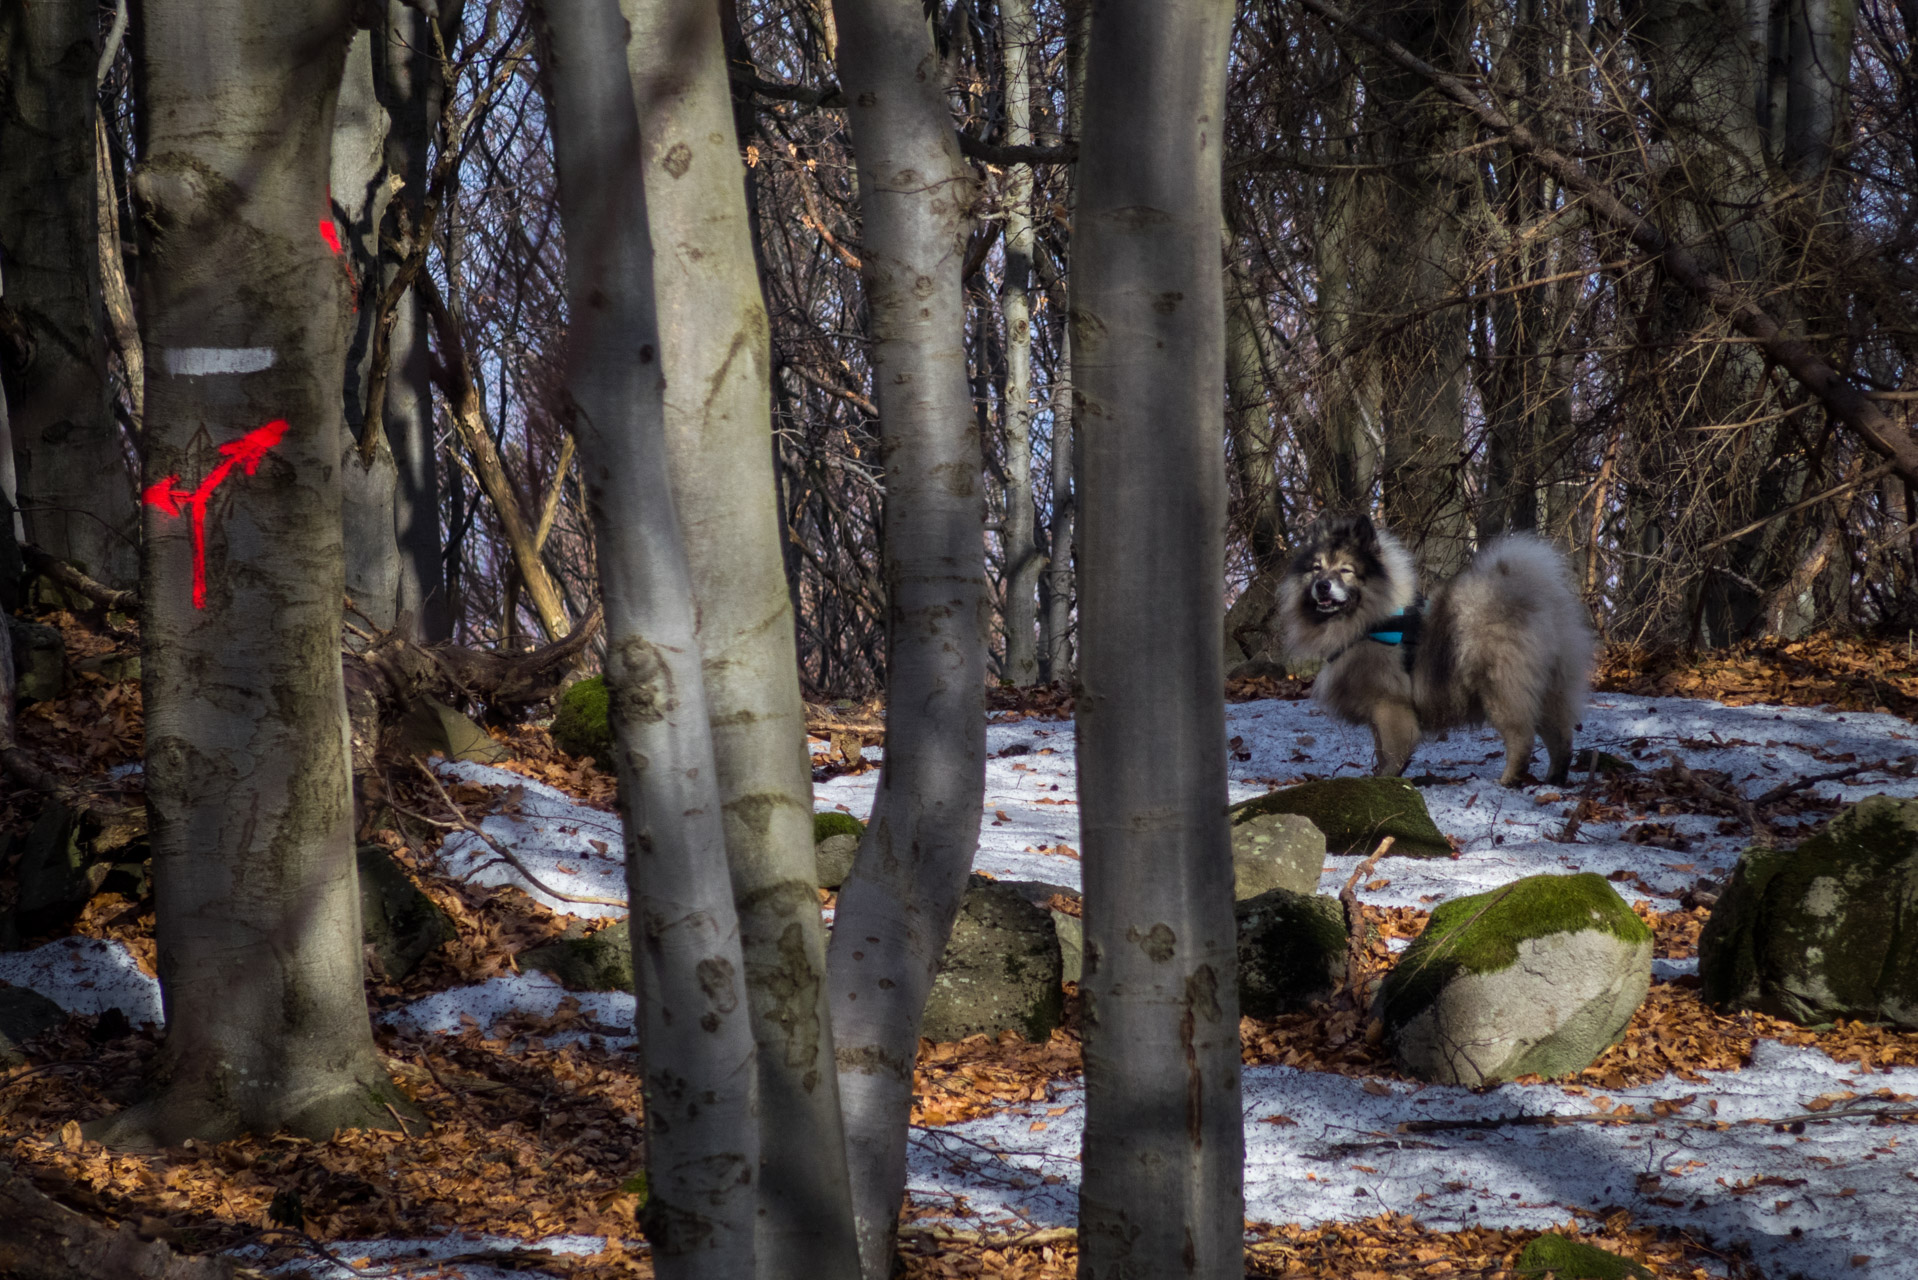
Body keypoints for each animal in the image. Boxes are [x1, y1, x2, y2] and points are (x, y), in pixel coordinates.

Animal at [1281, 514, 1595, 786]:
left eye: (1346, 570)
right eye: (1316, 568)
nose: (1323, 586)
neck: (1372, 619)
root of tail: (1537, 598)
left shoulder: (1390, 705)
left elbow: (1393, 751)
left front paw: (1386, 780)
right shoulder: (1378, 713)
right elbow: (1381, 750)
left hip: (1502, 691)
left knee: (1522, 737)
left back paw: (1509, 780)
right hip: (1551, 689)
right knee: (1561, 738)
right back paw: (1555, 779)